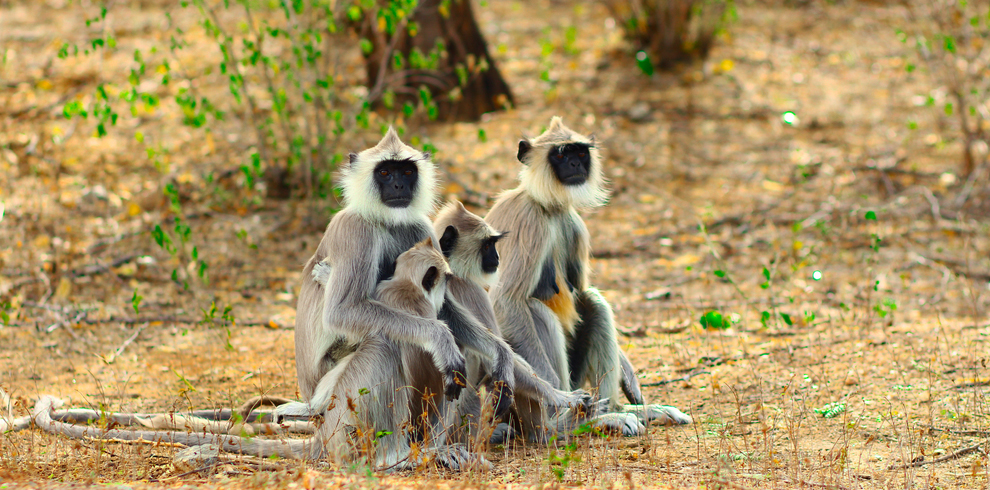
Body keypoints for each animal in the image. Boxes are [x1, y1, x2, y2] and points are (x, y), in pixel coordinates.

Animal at [432, 201, 596, 442]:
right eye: (487, 245)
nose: (497, 258)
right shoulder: (472, 290)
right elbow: (498, 358)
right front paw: (562, 396)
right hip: (466, 419)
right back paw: (548, 432)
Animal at [486, 117, 688, 434]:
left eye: (580, 152)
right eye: (560, 154)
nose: (574, 164)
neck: (549, 207)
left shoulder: (574, 225)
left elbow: (582, 289)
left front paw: (628, 374)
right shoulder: (526, 222)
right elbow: (505, 301)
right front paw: (557, 396)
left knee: (592, 301)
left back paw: (620, 410)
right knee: (533, 308)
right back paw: (563, 424)